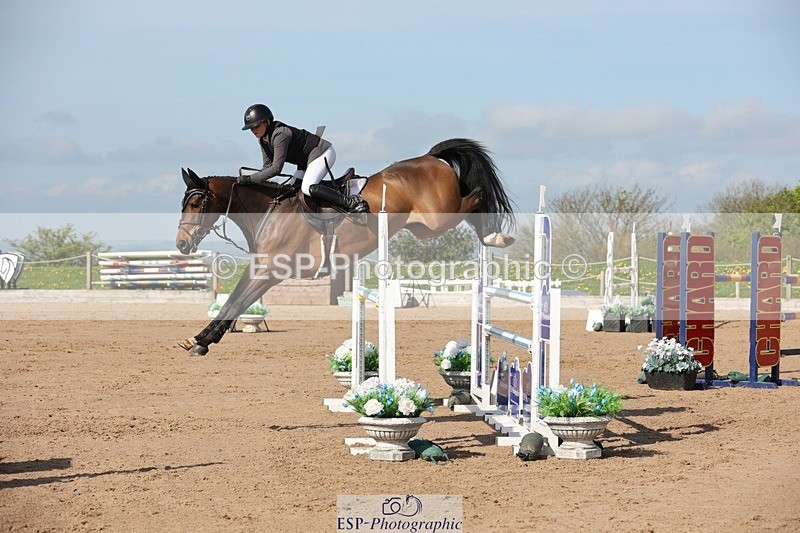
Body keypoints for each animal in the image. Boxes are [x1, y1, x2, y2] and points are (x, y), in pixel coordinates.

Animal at [175, 138, 515, 356]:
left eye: (195, 203)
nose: (181, 243)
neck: (268, 210)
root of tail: (431, 157)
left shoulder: (269, 271)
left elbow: (236, 302)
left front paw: (203, 341)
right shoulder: (261, 269)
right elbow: (233, 301)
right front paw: (198, 340)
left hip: (439, 217)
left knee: (478, 194)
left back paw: (497, 236)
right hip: (425, 228)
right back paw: (493, 236)